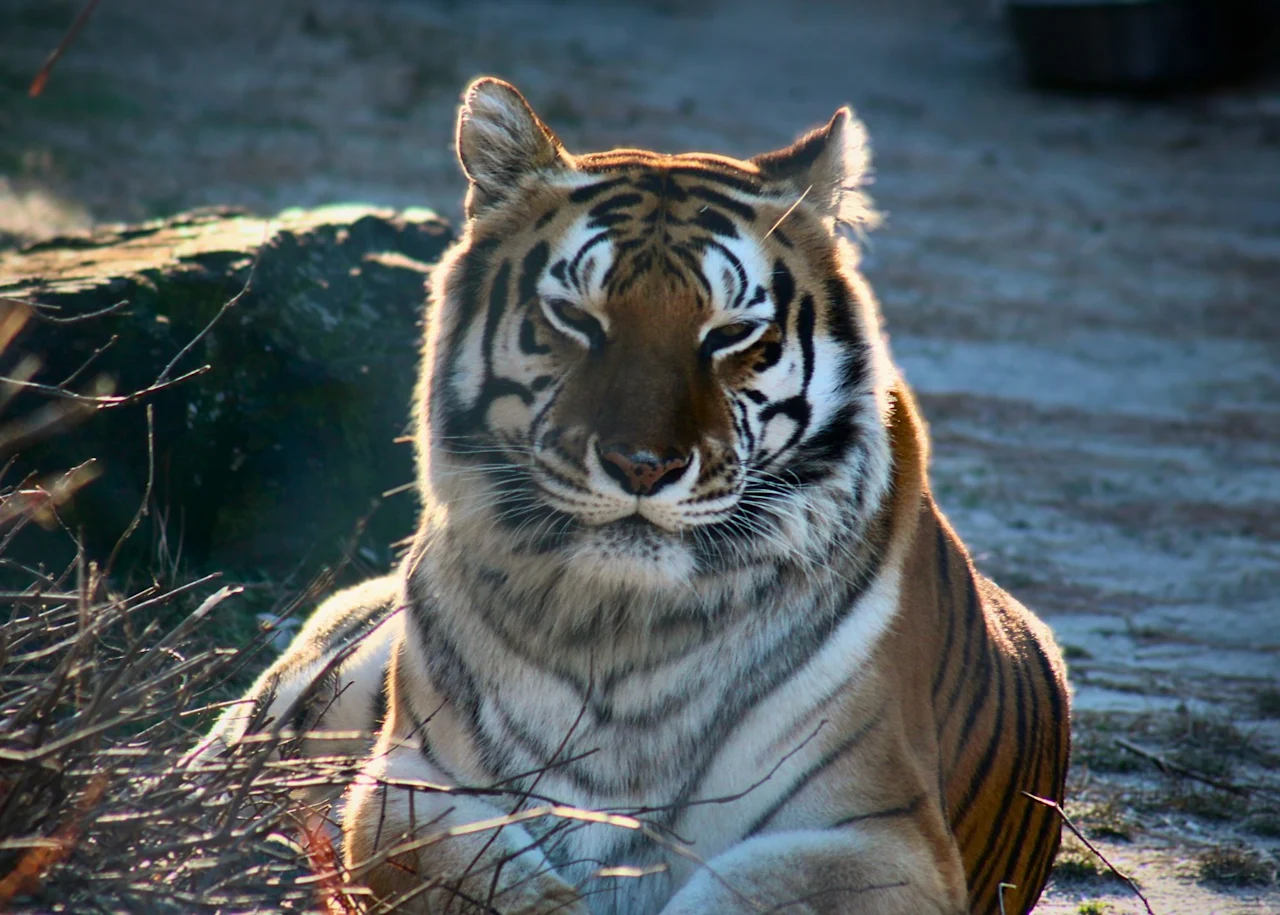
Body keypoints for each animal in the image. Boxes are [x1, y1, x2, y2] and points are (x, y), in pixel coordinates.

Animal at [190, 76, 1071, 915]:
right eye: (578, 318)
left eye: (729, 334)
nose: (643, 465)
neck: (622, 630)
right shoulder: (414, 783)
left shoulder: (879, 833)